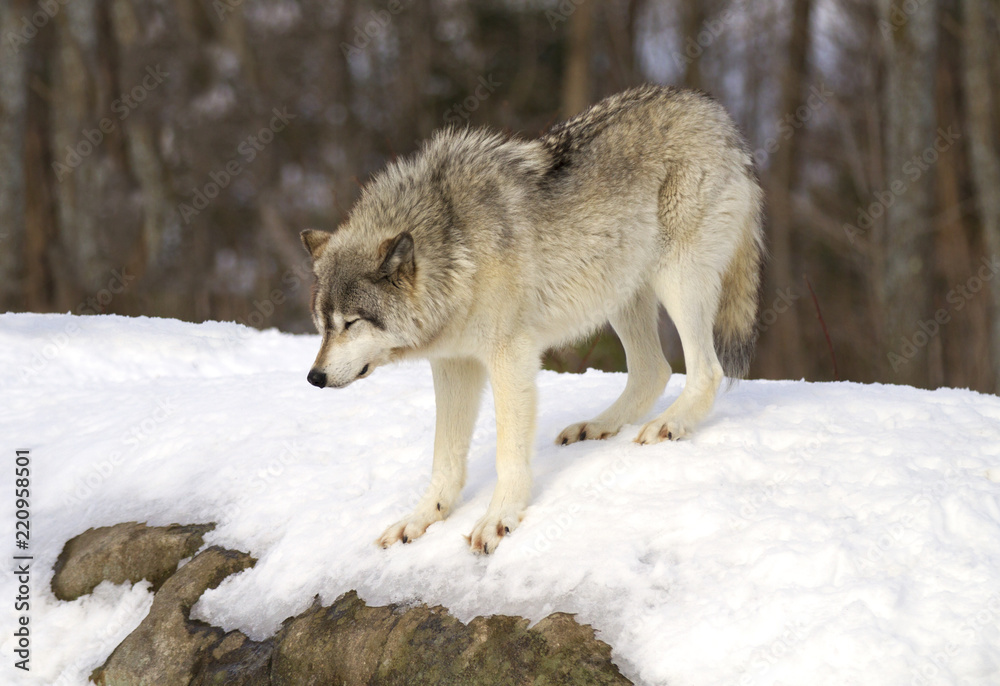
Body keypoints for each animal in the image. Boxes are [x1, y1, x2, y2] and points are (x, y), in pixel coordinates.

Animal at [301, 84, 765, 554]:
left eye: (351, 322)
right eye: (322, 324)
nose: (314, 378)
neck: (457, 247)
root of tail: (715, 113)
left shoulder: (511, 358)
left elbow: (508, 453)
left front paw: (498, 519)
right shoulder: (453, 364)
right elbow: (443, 457)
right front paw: (421, 519)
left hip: (676, 279)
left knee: (706, 370)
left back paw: (669, 423)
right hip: (620, 293)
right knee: (655, 370)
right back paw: (598, 426)